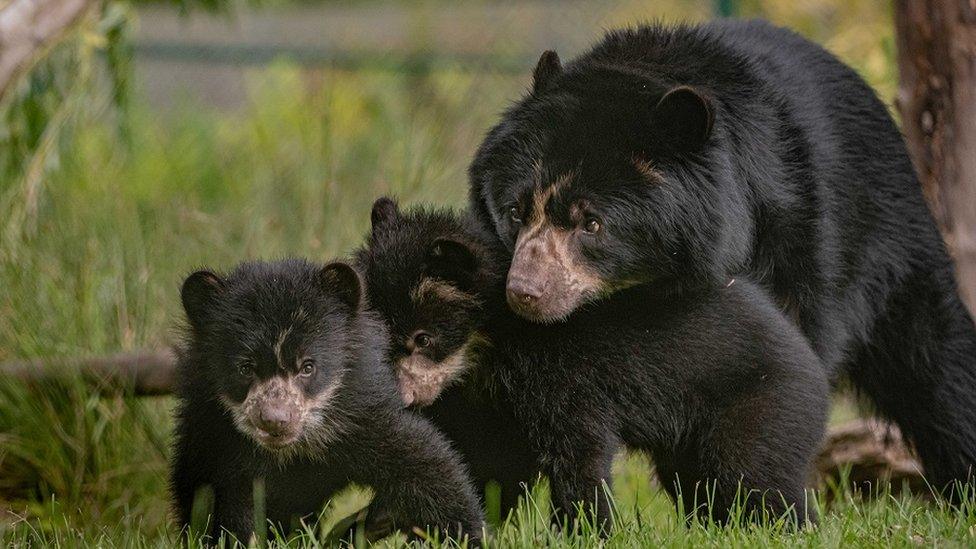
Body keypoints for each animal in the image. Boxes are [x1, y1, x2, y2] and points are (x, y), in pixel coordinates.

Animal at [174, 260, 484, 540]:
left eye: (308, 367)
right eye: (245, 368)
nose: (275, 420)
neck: (295, 450)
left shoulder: (363, 416)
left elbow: (426, 466)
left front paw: (466, 534)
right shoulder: (216, 442)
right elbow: (217, 504)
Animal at [362, 199, 828, 528]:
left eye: (423, 338)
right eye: (379, 333)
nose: (403, 398)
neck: (489, 353)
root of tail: (811, 362)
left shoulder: (562, 375)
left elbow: (578, 450)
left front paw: (583, 529)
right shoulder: (492, 404)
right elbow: (493, 464)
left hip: (761, 404)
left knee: (754, 479)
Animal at [468, 20, 972, 492]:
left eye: (591, 223)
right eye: (515, 211)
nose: (525, 293)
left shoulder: (788, 232)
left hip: (890, 241)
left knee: (934, 359)